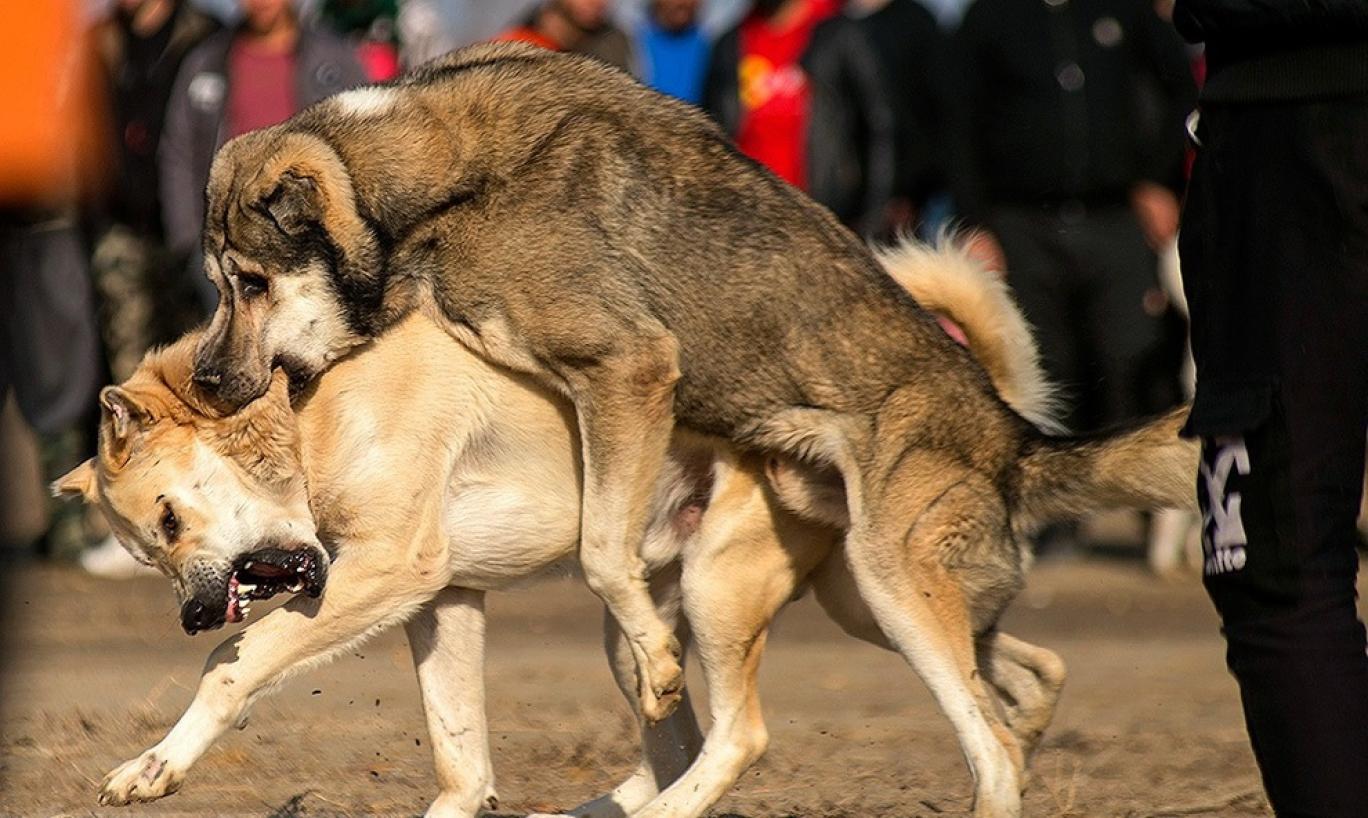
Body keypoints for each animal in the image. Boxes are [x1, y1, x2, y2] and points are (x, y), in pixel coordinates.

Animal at [61, 243, 1198, 818]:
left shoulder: (392, 572)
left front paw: (152, 766)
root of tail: (988, 410)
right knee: (1022, 675)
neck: (307, 401)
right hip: (790, 610)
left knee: (751, 737)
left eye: (168, 518)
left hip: (743, 593)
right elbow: (459, 760)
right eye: (149, 550)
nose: (192, 613)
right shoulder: (445, 599)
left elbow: (236, 670)